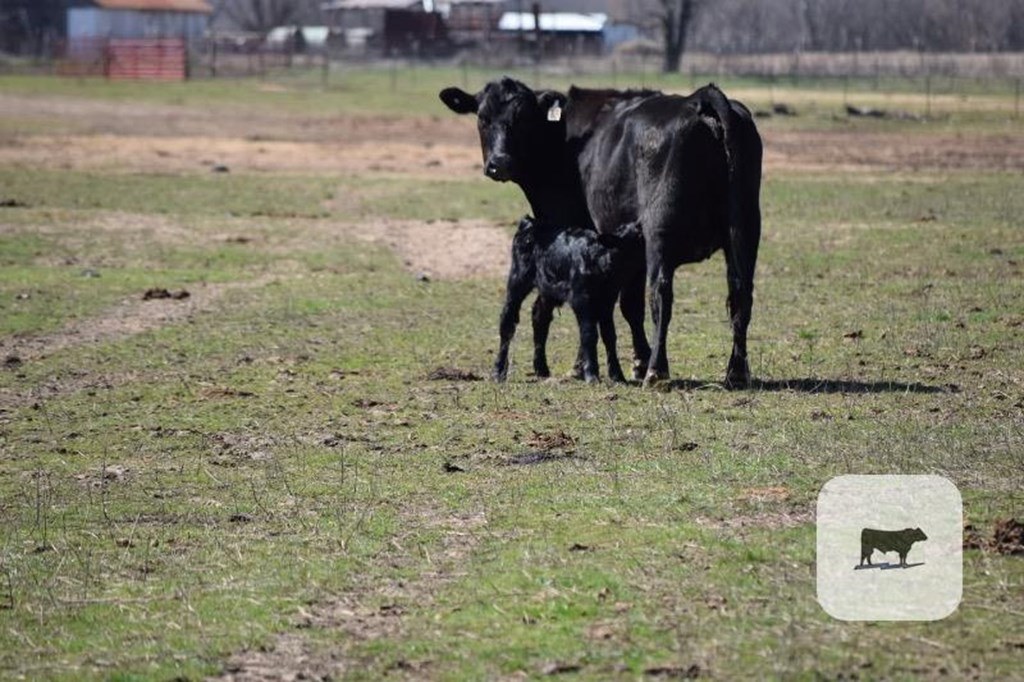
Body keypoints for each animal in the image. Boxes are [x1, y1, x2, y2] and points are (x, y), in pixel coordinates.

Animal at [493, 215, 643, 382]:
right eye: (638, 237)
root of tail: (529, 222)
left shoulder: (607, 302)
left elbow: (609, 335)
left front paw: (617, 375)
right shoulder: (581, 300)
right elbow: (589, 333)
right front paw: (592, 374)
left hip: (547, 289)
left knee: (540, 317)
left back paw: (541, 369)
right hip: (517, 279)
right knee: (507, 320)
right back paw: (499, 371)